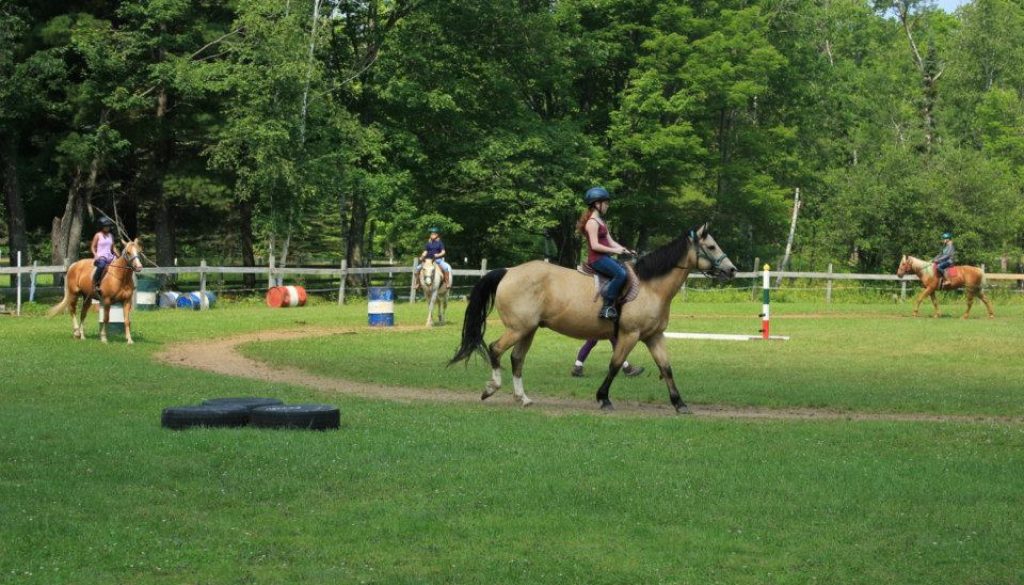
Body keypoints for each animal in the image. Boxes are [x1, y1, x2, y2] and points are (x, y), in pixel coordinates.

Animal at [450, 224, 737, 411]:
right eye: (711, 246)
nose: (732, 269)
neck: (650, 286)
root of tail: (509, 271)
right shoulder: (630, 334)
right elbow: (614, 364)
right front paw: (603, 398)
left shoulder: (653, 336)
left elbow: (666, 367)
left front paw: (679, 403)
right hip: (518, 328)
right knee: (495, 349)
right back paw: (491, 388)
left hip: (528, 330)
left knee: (517, 359)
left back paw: (523, 398)